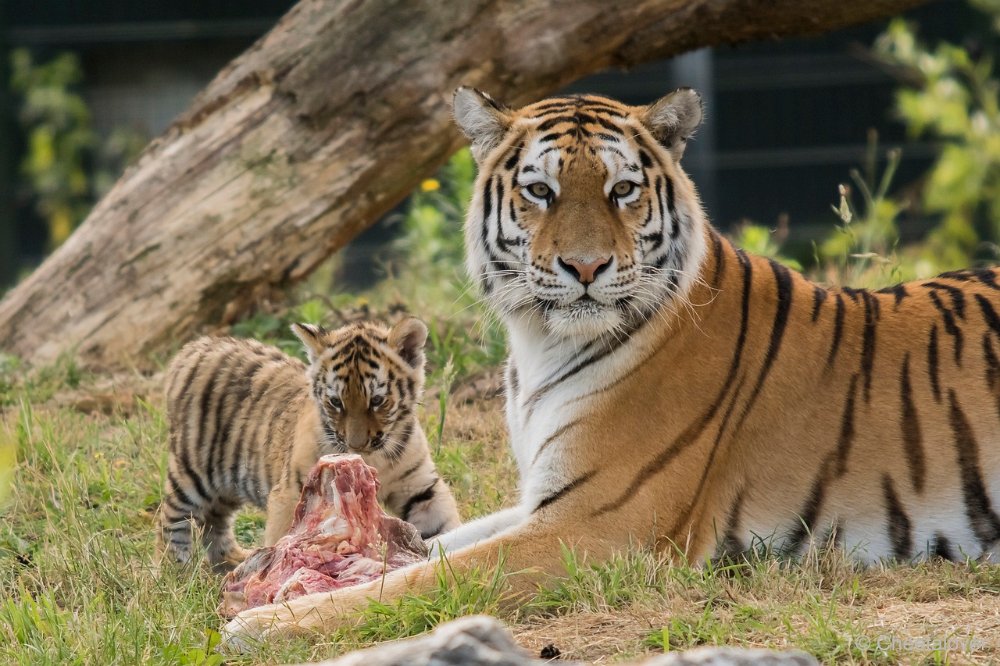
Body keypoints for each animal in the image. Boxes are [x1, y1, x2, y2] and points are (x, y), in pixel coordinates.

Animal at [159, 316, 460, 564]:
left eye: (377, 400)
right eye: (336, 402)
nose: (357, 446)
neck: (375, 458)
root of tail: (196, 346)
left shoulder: (420, 487)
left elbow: (442, 524)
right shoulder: (292, 491)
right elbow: (283, 536)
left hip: (227, 485)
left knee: (215, 522)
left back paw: (231, 562)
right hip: (192, 472)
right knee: (170, 518)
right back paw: (176, 575)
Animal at [223, 85, 1000, 640]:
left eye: (622, 190)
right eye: (539, 191)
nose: (587, 267)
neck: (539, 347)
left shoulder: (597, 525)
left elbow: (430, 577)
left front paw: (265, 622)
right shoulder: (543, 501)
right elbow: (428, 548)